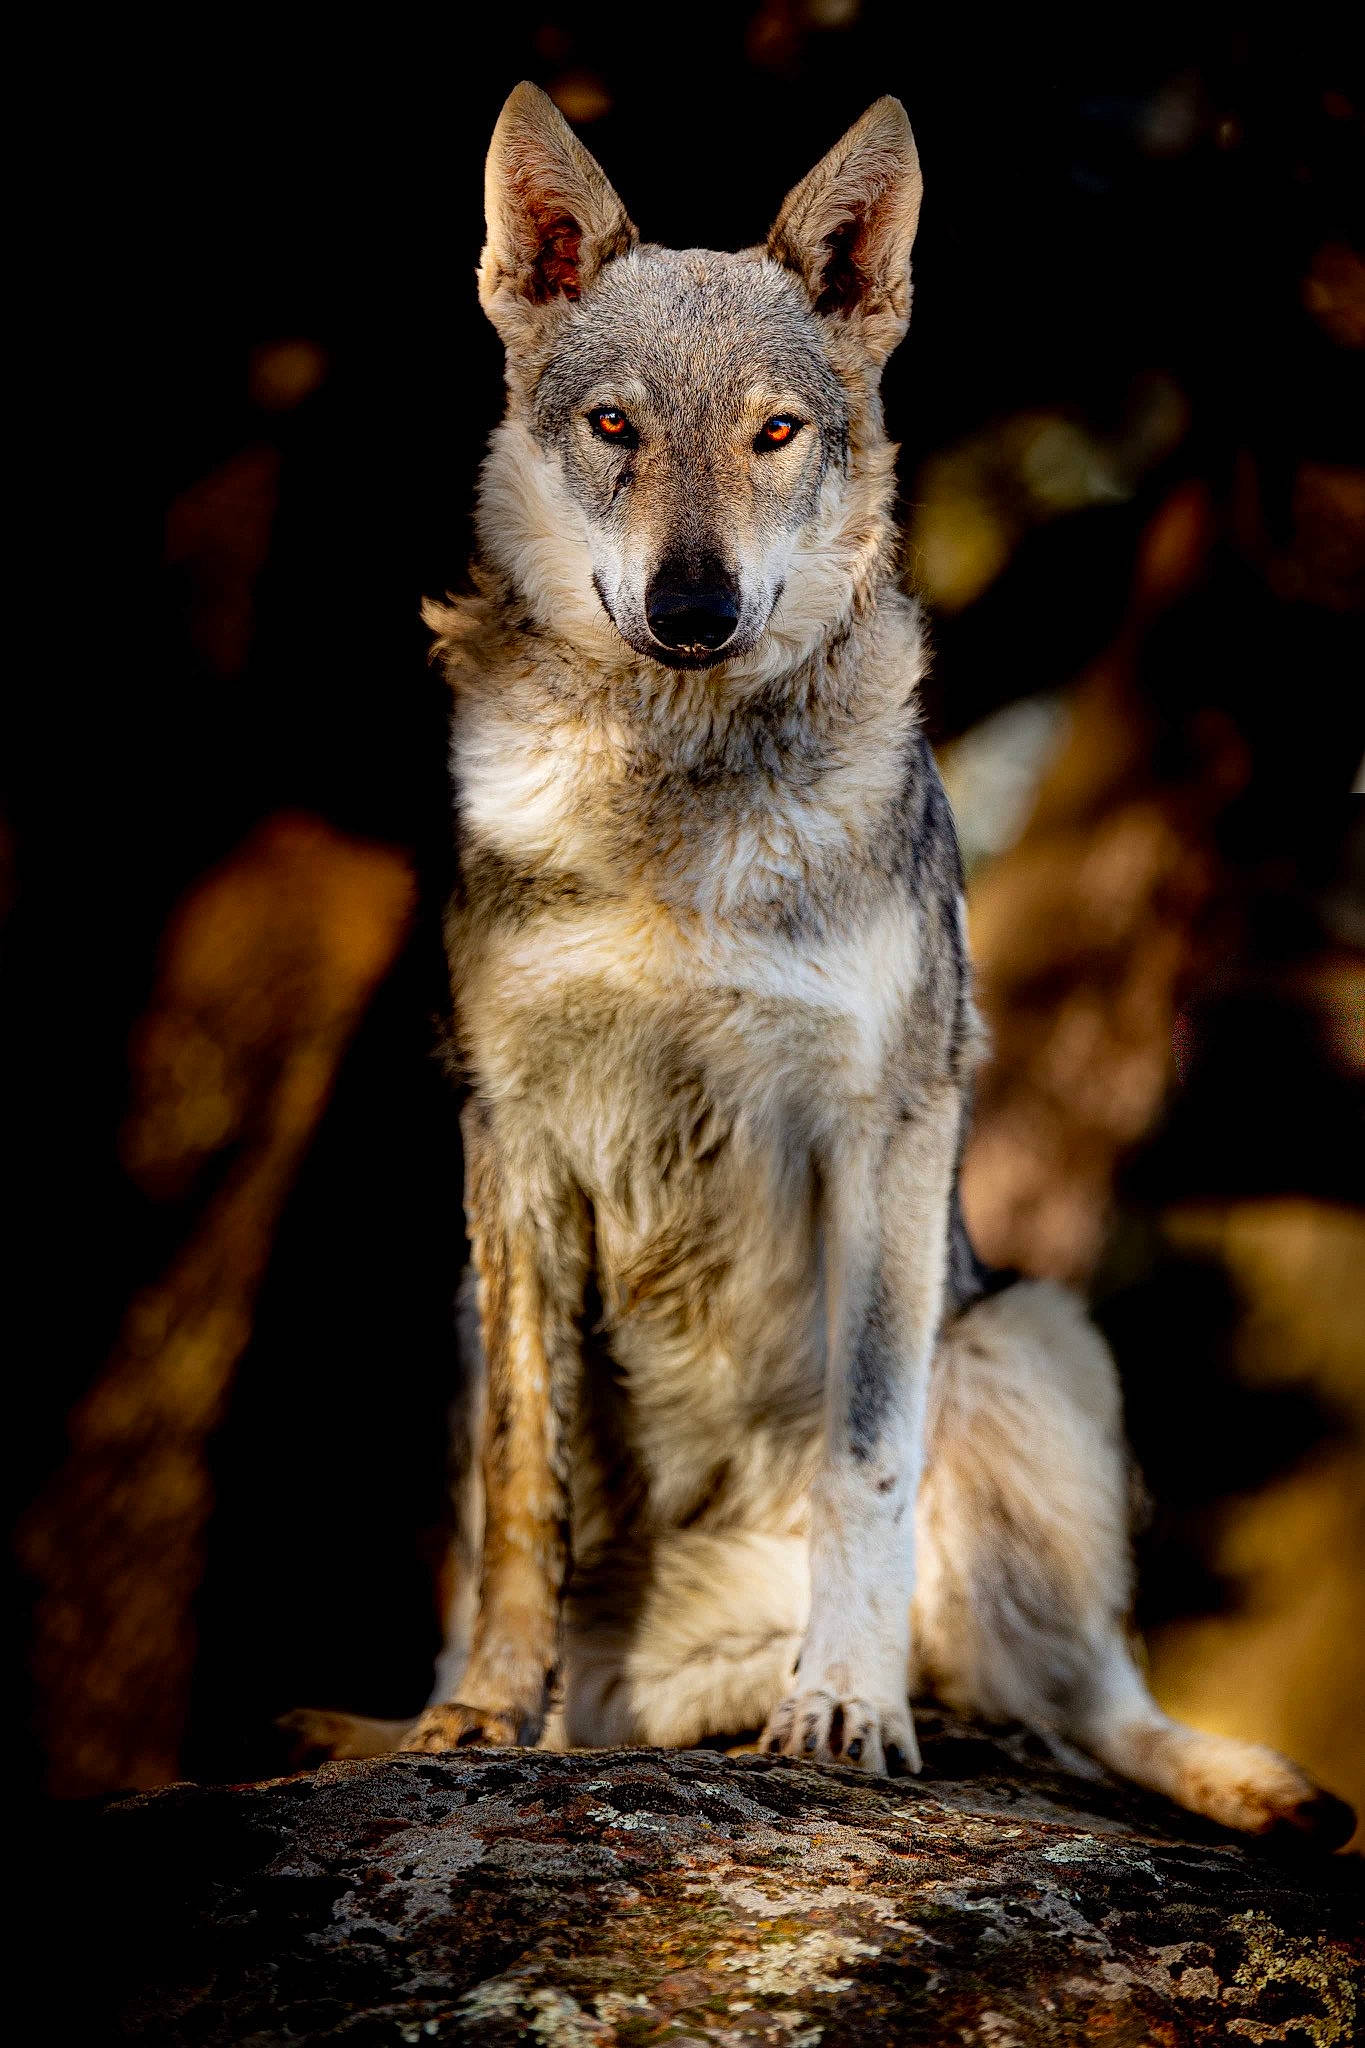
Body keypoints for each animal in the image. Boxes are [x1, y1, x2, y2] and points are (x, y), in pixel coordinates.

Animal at [289, 83, 1352, 1845]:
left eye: (776, 434)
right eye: (616, 429)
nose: (694, 607)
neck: (677, 803)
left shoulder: (886, 1133)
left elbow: (867, 1460)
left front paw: (842, 1712)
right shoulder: (508, 1145)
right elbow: (519, 1491)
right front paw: (473, 1720)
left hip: (1028, 1337)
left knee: (1081, 1703)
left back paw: (1215, 1778)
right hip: (464, 1313)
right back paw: (502, 1723)